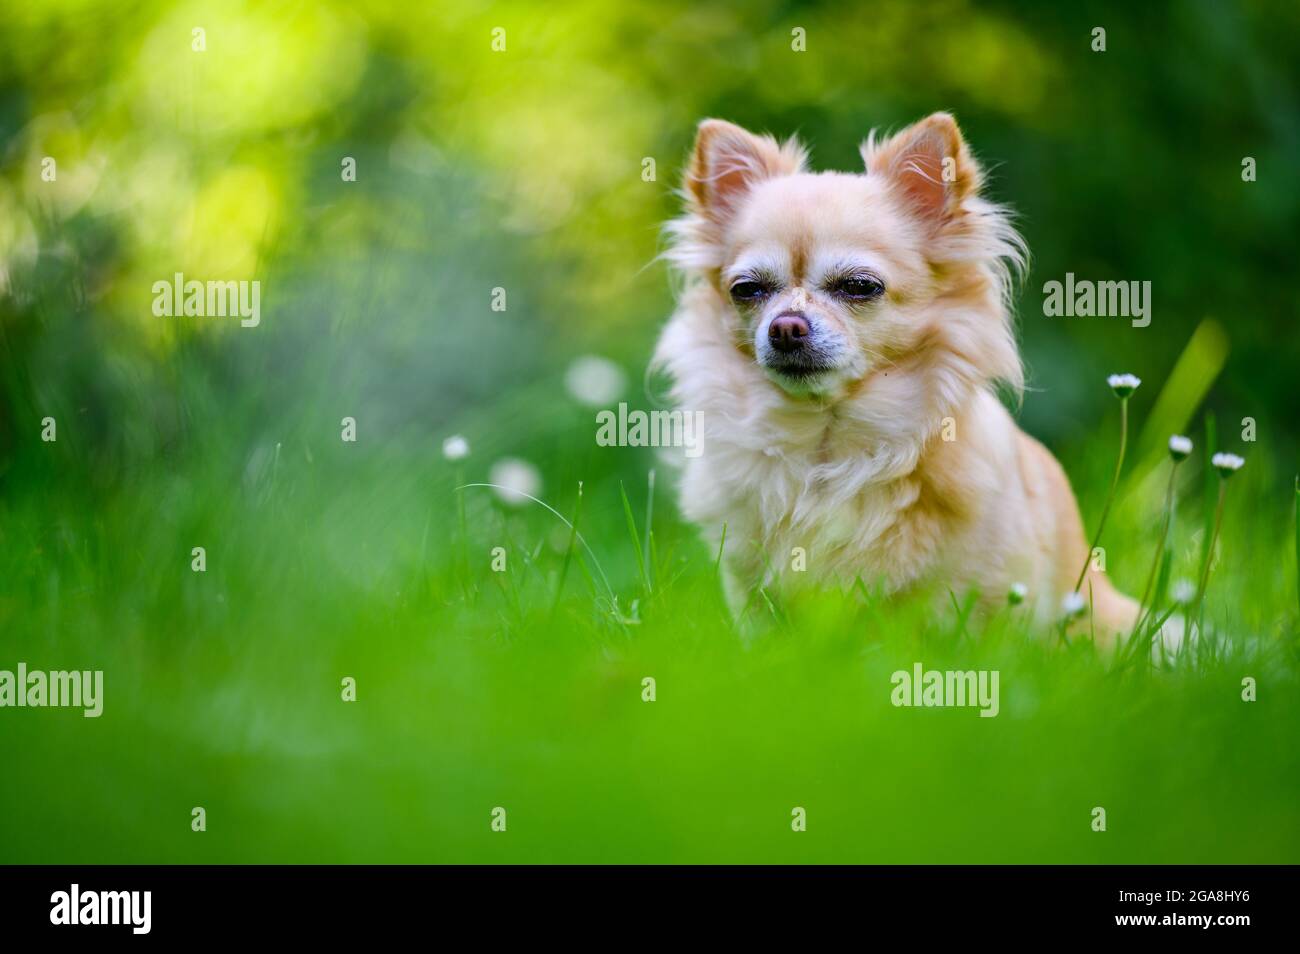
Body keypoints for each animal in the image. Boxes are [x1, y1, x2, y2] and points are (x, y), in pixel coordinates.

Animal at [655, 117, 1133, 642]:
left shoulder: (987, 594)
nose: (785, 327)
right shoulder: (752, 593)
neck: (827, 449)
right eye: (746, 290)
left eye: (859, 286)